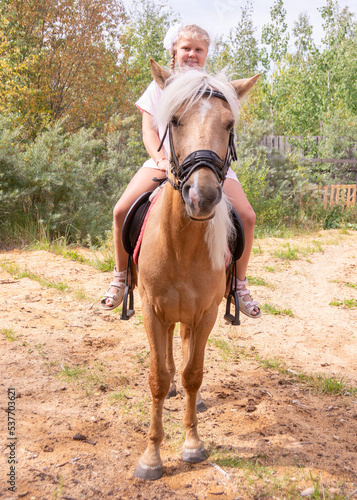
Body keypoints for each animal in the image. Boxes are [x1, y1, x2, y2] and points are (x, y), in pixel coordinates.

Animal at [132, 59, 258, 480]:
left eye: (229, 124)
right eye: (174, 120)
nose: (201, 196)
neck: (182, 245)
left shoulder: (205, 314)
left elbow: (193, 374)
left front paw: (192, 443)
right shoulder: (152, 311)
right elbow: (158, 377)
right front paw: (151, 457)